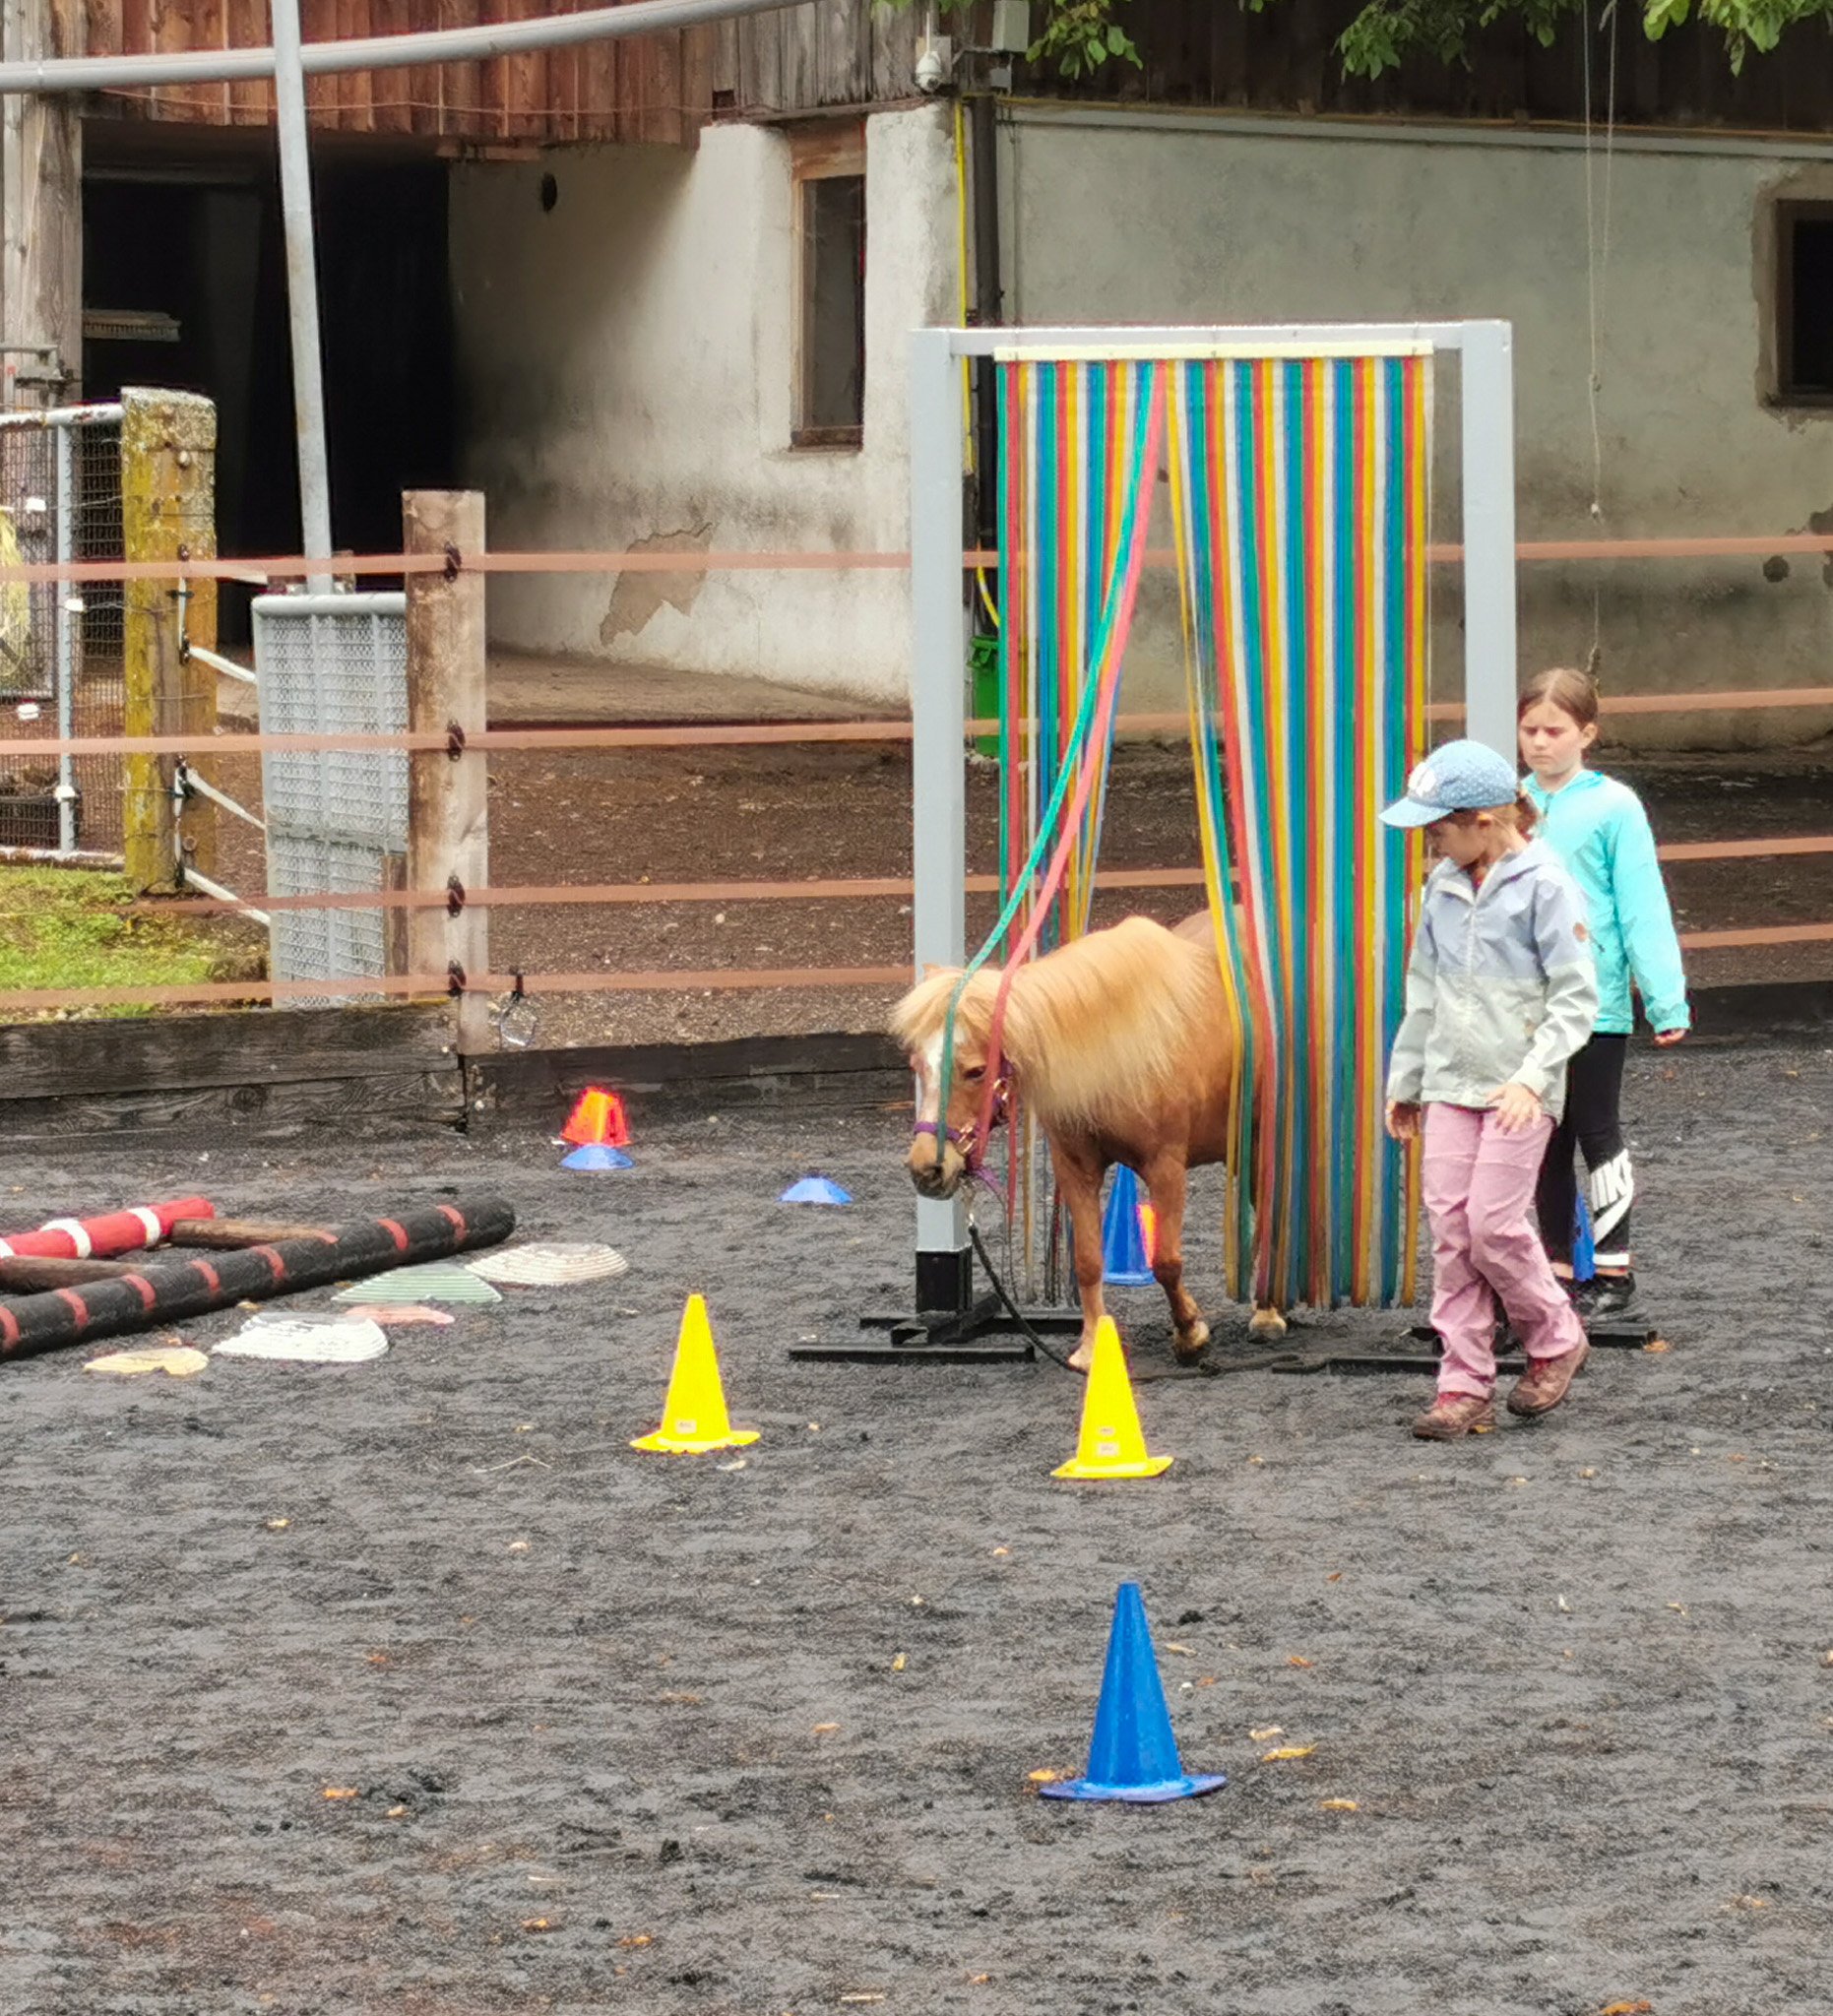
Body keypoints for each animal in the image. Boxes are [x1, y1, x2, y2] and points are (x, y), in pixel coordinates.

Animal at [889, 912, 1288, 1371]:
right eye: (917, 1065)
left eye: (975, 1071)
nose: (927, 1168)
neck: (1112, 1053)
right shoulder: (1075, 1169)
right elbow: (1087, 1260)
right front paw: (1092, 1345)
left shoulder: (1166, 1167)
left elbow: (1166, 1261)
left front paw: (1190, 1334)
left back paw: (1267, 1314)